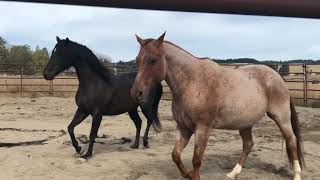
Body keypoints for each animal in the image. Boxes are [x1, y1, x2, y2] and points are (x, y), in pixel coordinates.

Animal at [132, 32, 304, 180]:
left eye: (153, 60)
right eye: (137, 60)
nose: (137, 93)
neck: (192, 82)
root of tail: (278, 77)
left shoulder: (203, 128)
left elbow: (196, 159)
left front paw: (193, 175)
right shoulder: (183, 128)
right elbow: (175, 155)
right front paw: (187, 174)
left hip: (281, 117)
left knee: (291, 140)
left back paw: (297, 174)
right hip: (245, 123)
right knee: (248, 145)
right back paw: (233, 173)